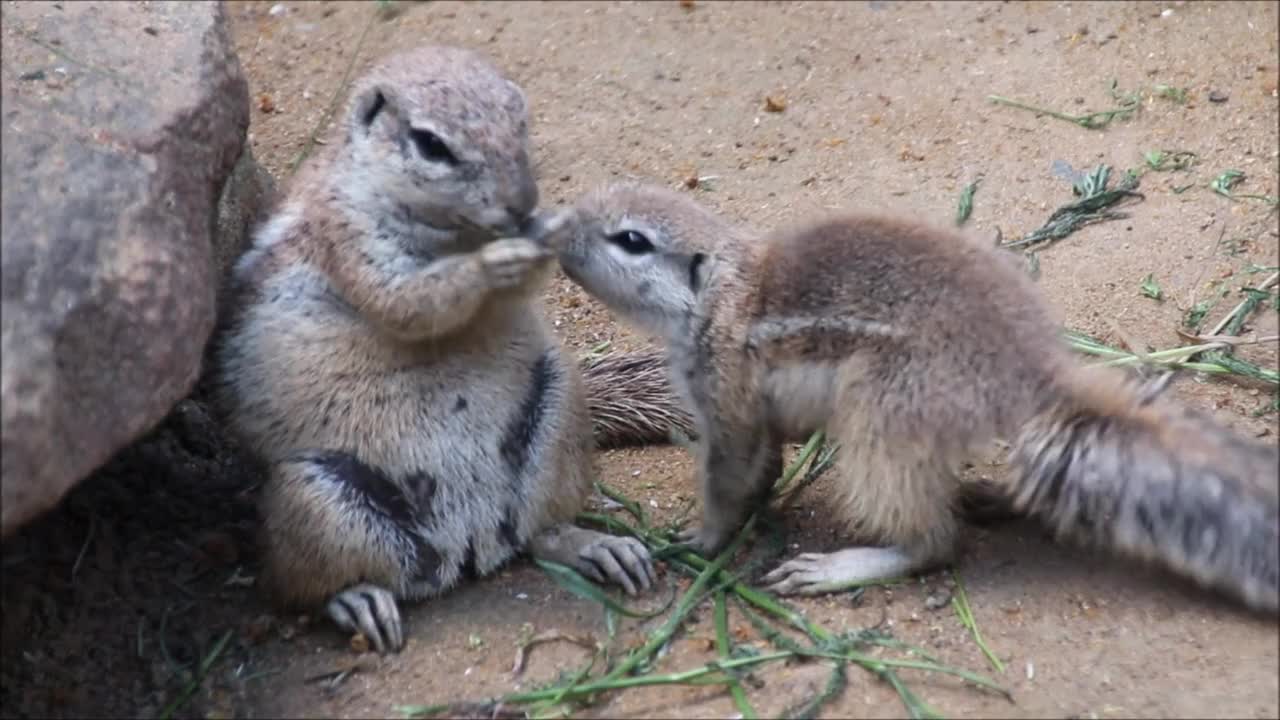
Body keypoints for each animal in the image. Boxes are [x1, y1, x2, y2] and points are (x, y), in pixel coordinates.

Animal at [211, 47, 691, 653]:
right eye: (430, 145)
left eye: (521, 120)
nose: (521, 204)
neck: (453, 232)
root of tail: (470, 542)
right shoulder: (348, 237)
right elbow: (410, 301)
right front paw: (495, 259)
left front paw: (551, 226)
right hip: (316, 498)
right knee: (299, 586)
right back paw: (357, 601)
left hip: (557, 413)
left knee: (538, 532)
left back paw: (594, 546)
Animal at [550, 181, 1280, 614]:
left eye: (632, 240)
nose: (551, 226)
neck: (727, 289)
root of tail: (1030, 373)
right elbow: (765, 469)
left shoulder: (727, 393)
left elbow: (731, 478)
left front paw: (699, 539)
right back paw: (991, 497)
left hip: (881, 417)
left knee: (934, 544)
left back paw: (841, 566)